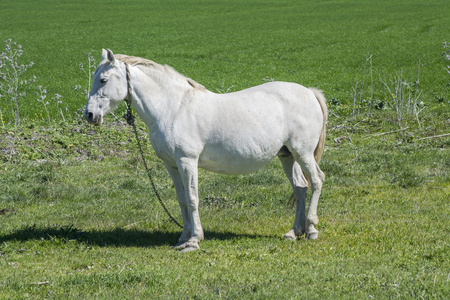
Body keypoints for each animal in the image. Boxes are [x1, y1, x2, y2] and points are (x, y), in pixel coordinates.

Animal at [84, 48, 326, 251]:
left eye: (103, 80)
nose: (89, 115)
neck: (172, 108)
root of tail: (309, 92)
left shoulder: (187, 161)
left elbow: (193, 198)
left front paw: (193, 241)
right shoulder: (171, 165)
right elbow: (182, 199)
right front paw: (182, 237)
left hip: (302, 153)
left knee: (316, 180)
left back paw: (311, 229)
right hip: (287, 156)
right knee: (300, 187)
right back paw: (294, 232)